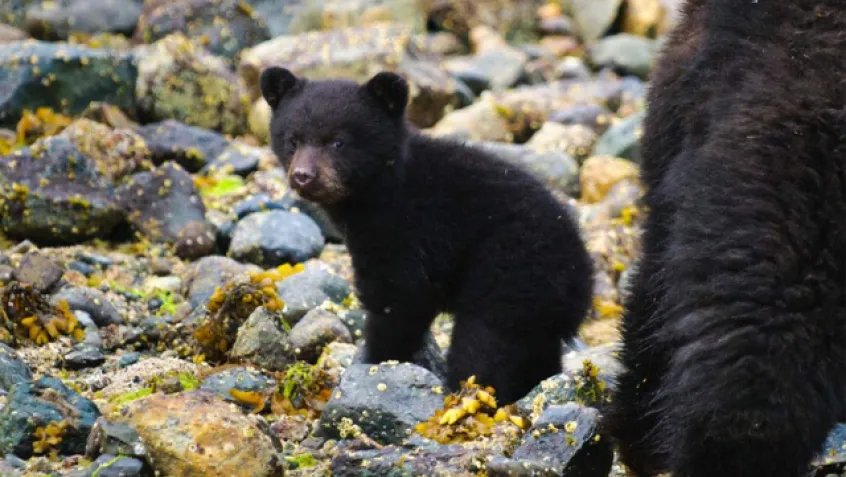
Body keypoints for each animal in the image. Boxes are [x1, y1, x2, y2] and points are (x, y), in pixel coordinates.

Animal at [258, 66, 595, 404]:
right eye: (292, 140)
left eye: (338, 142)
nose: (303, 176)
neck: (382, 189)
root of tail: (582, 281)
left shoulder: (406, 231)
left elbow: (399, 298)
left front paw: (376, 363)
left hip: (511, 279)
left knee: (484, 346)